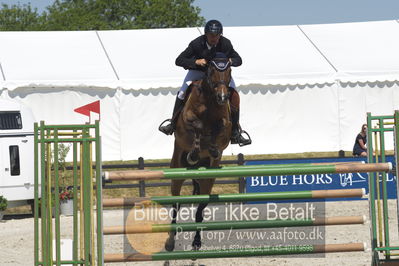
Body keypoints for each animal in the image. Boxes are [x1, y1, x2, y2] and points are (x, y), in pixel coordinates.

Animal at [166, 56, 234, 251]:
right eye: (211, 71)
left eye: (229, 71)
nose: (222, 97)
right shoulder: (187, 117)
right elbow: (197, 124)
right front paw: (195, 152)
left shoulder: (225, 122)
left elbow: (219, 127)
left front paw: (213, 148)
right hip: (177, 172)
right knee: (176, 204)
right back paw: (170, 242)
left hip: (207, 180)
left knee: (200, 210)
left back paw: (196, 242)